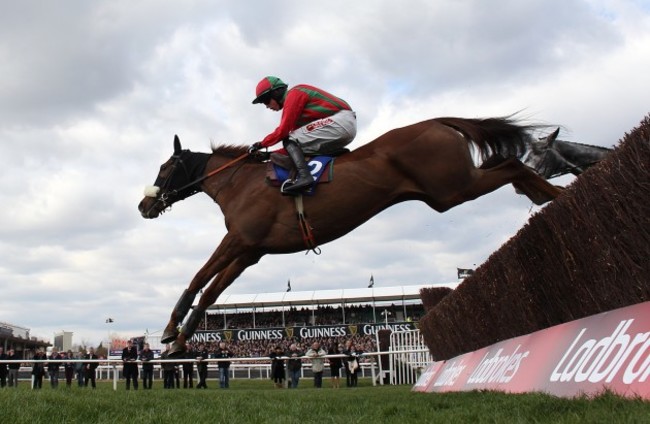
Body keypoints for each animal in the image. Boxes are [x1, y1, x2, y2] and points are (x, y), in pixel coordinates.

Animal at [135, 114, 560, 356]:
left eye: (164, 168)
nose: (144, 206)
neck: (240, 182)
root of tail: (438, 122)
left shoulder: (239, 240)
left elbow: (198, 279)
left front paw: (170, 330)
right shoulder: (251, 250)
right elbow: (211, 293)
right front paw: (180, 340)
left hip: (452, 188)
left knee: (510, 163)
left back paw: (554, 194)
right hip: (447, 191)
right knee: (507, 162)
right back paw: (547, 193)